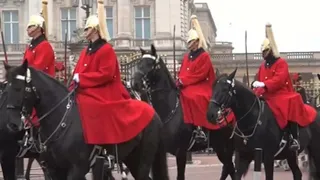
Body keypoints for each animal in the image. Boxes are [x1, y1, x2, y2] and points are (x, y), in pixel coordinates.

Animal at [3, 60, 169, 180]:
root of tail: (154, 112)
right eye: (6, 89)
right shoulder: (54, 169)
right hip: (131, 159)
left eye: (19, 88)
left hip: (143, 161)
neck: (62, 120)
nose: (12, 124)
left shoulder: (77, 168)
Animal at [132, 44, 235, 179]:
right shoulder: (161, 151)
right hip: (219, 146)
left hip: (224, 146)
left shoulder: (181, 152)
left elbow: (180, 176)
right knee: (229, 168)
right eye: (139, 63)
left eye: (150, 63)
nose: (135, 83)